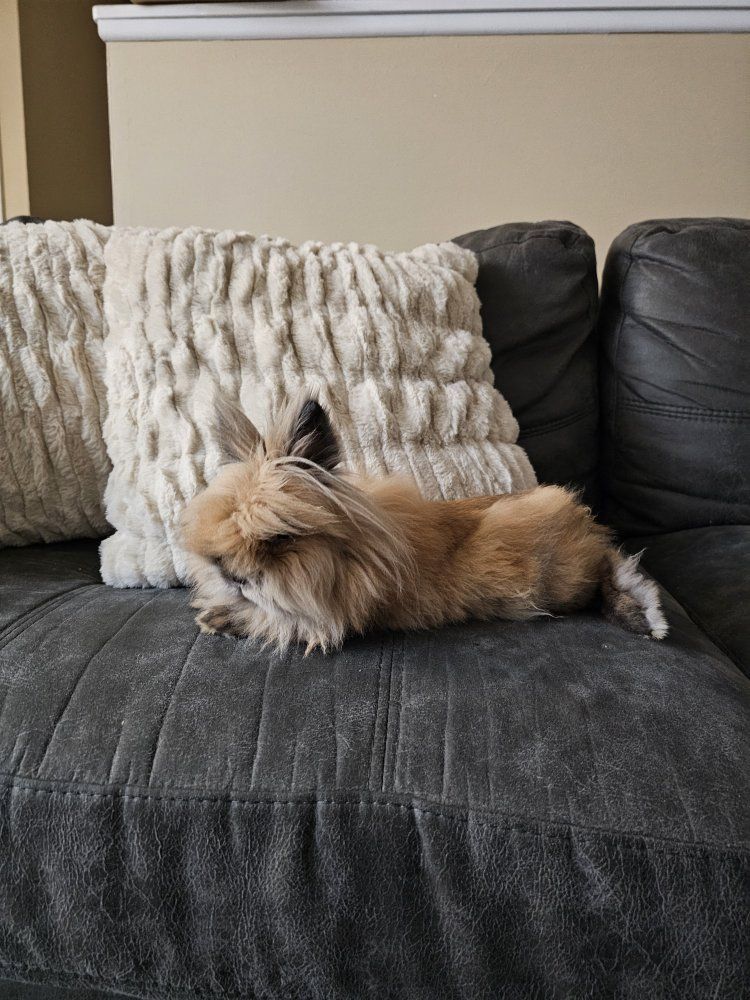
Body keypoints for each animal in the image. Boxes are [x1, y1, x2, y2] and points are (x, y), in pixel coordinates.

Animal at [180, 397, 667, 653]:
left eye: (280, 538)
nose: (232, 577)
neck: (350, 553)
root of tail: (584, 525)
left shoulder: (337, 616)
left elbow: (281, 621)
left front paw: (214, 618)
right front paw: (213, 613)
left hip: (566, 580)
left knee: (606, 575)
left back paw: (645, 618)